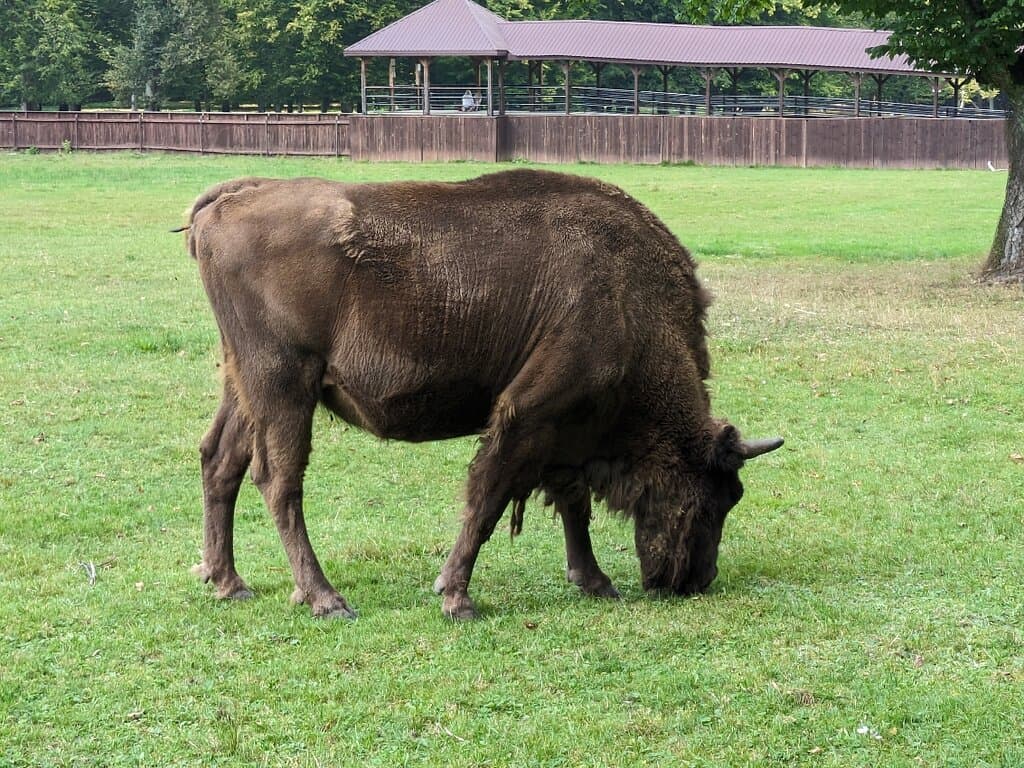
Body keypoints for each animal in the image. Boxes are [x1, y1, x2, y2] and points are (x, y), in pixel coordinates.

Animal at [184, 169, 782, 619]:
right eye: (718, 496)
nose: (696, 580)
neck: (628, 300)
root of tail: (232, 198)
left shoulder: (567, 431)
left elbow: (572, 504)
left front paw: (594, 581)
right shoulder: (529, 414)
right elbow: (490, 497)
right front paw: (456, 597)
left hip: (244, 385)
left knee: (220, 461)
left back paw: (227, 581)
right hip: (285, 386)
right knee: (279, 481)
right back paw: (325, 599)